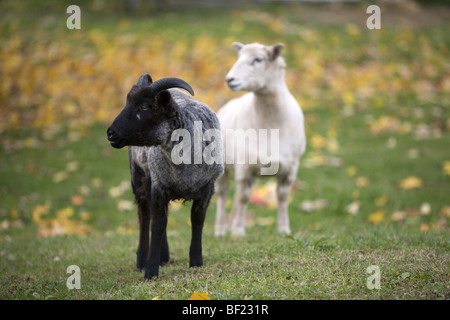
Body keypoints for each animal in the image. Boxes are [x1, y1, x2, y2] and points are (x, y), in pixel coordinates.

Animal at [214, 42, 306, 238]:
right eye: (239, 57)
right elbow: (244, 198)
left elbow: (282, 197)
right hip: (223, 166)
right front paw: (239, 231)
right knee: (223, 195)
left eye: (258, 60)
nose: (229, 79)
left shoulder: (290, 167)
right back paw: (221, 230)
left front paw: (284, 230)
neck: (271, 124)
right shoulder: (244, 165)